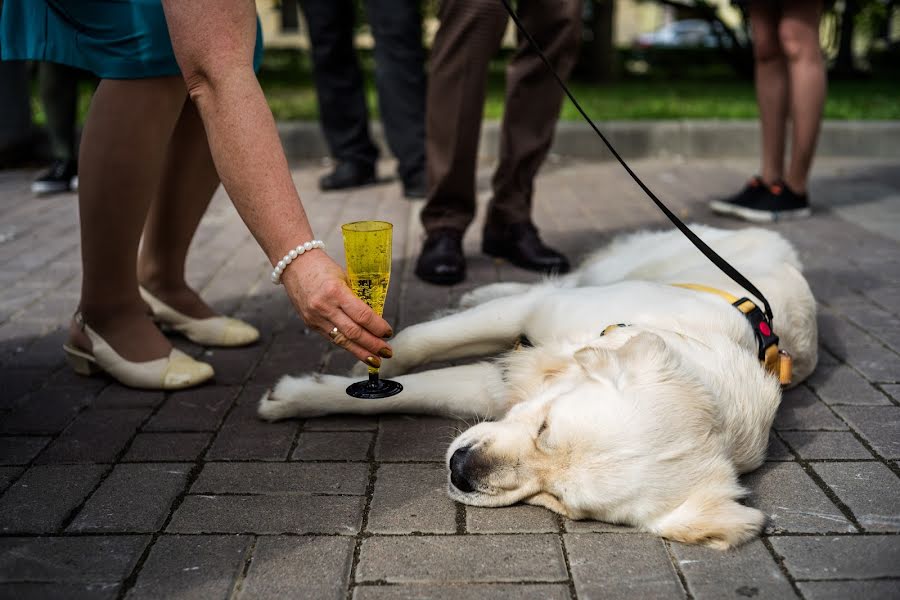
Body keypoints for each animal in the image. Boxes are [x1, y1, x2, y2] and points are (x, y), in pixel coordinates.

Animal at [258, 225, 816, 548]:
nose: (461, 470)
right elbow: (417, 342)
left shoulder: (499, 385)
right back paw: (480, 289)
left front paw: (298, 396)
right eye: (547, 428)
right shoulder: (534, 314)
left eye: (562, 501)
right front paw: (358, 365)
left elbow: (413, 391)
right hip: (607, 272)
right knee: (555, 279)